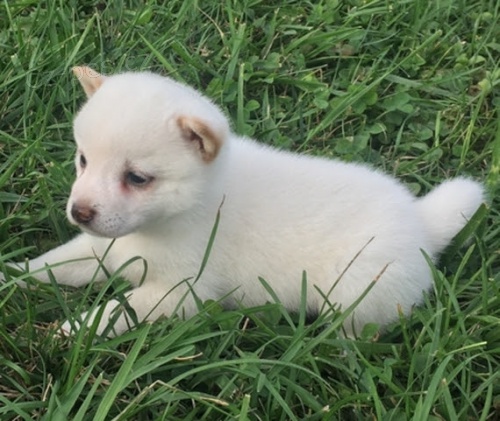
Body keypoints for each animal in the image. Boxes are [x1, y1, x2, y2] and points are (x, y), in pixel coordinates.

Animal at [1, 66, 485, 337]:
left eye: (137, 178)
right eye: (83, 160)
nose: (79, 212)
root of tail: (421, 221)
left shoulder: (182, 291)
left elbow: (122, 308)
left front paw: (77, 328)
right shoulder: (103, 248)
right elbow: (57, 264)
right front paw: (14, 274)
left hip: (360, 292)